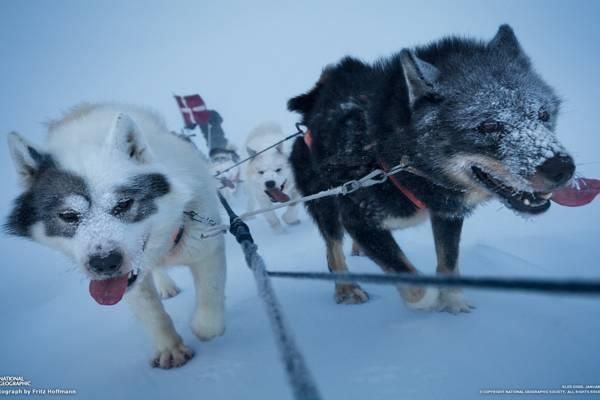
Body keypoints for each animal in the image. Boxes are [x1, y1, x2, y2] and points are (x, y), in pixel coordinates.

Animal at [5, 103, 226, 368]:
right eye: (68, 215)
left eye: (123, 204)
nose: (104, 263)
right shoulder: (128, 285)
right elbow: (152, 312)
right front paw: (169, 347)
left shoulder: (206, 246)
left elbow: (209, 300)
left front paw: (205, 326)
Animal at [288, 25, 576, 312]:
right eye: (489, 125)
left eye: (543, 115)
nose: (563, 167)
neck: (391, 160)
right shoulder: (359, 221)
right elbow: (415, 285)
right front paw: (434, 302)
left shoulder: (448, 214)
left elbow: (448, 262)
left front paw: (454, 303)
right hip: (325, 204)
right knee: (333, 249)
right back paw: (347, 288)